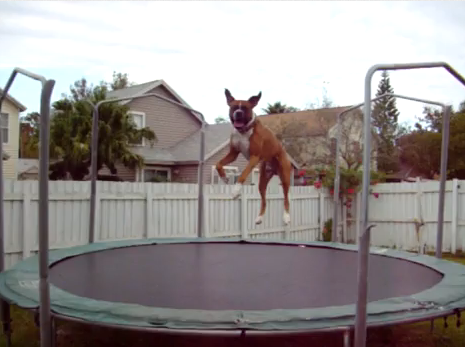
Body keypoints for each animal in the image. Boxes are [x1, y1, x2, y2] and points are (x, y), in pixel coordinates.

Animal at [214, 89, 290, 226]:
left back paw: (286, 217)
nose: (238, 113)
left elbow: (243, 174)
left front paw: (235, 191)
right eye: (234, 107)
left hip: (285, 178)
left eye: (245, 108)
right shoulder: (233, 154)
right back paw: (259, 218)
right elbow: (218, 164)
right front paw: (224, 177)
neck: (243, 131)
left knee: (286, 198)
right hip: (262, 181)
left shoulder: (254, 157)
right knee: (264, 200)